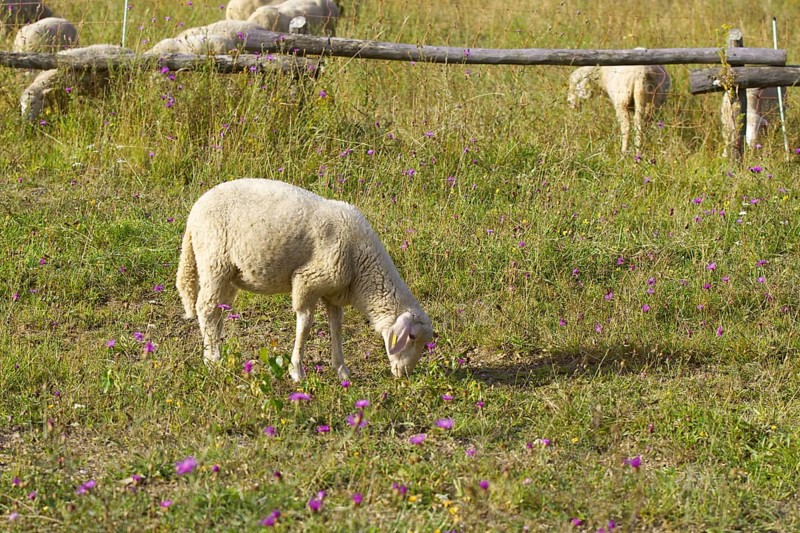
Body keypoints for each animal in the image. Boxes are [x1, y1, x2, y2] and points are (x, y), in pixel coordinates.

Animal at [176, 178, 434, 382]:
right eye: (412, 337)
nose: (405, 374)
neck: (361, 266)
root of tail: (194, 213)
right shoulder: (307, 281)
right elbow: (305, 324)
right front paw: (296, 371)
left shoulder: (333, 292)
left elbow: (336, 327)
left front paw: (342, 370)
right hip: (214, 260)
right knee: (206, 308)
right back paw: (212, 359)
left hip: (228, 273)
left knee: (218, 310)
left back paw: (216, 350)